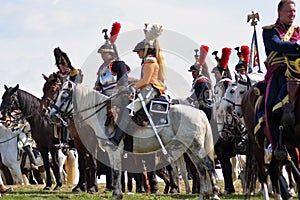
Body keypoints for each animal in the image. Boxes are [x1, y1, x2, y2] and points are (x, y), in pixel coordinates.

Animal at [50, 81, 220, 198]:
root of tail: (199, 112)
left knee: (208, 165)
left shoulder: (113, 150)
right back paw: (202, 195)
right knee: (201, 168)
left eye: (63, 95)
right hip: (190, 148)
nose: (52, 116)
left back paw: (215, 193)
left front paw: (116, 194)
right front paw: (117, 194)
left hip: (196, 147)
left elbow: (116, 172)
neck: (103, 114)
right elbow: (116, 172)